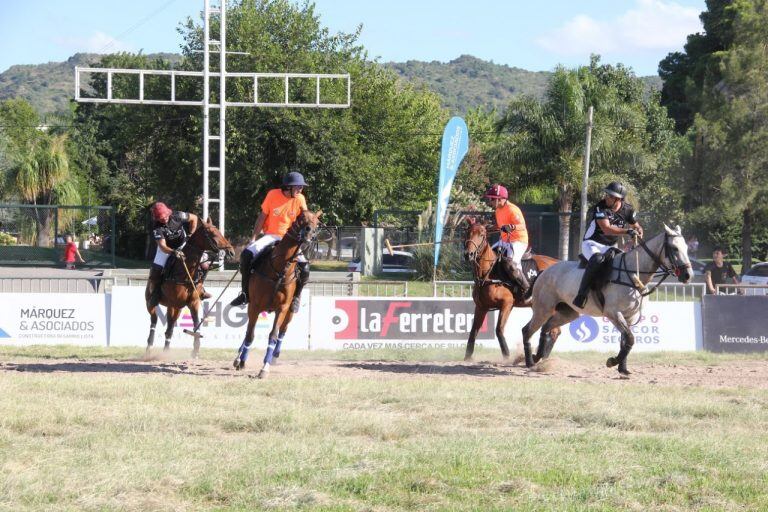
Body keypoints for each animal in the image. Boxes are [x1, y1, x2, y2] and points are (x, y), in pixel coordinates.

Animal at [145, 218, 234, 358]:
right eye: (212, 234)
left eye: (219, 231)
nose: (231, 252)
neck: (186, 273)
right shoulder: (173, 303)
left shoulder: (193, 302)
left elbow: (196, 324)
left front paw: (195, 350)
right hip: (152, 303)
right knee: (154, 320)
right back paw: (149, 348)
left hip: (177, 308)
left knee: (168, 329)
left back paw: (166, 351)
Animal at [231, 207, 320, 376]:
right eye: (301, 218)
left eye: (317, 223)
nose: (308, 235)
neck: (280, 270)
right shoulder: (254, 306)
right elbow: (249, 334)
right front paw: (242, 361)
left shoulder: (282, 308)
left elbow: (273, 334)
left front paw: (264, 368)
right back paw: (239, 357)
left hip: (290, 311)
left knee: (283, 331)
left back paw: (274, 356)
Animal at [462, 218, 564, 366]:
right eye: (467, 232)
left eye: (481, 234)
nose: (468, 254)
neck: (489, 273)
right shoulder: (481, 307)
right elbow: (474, 330)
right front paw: (467, 357)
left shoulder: (507, 304)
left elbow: (499, 329)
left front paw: (506, 355)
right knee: (554, 330)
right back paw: (539, 357)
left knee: (554, 331)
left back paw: (536, 357)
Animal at [520, 226, 692, 374]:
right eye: (674, 248)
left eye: (686, 248)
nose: (688, 275)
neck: (631, 273)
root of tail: (543, 272)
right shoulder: (613, 313)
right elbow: (630, 339)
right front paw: (612, 361)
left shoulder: (630, 317)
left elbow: (626, 341)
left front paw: (623, 368)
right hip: (543, 308)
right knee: (527, 330)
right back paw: (530, 361)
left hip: (568, 313)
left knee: (546, 328)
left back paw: (538, 357)